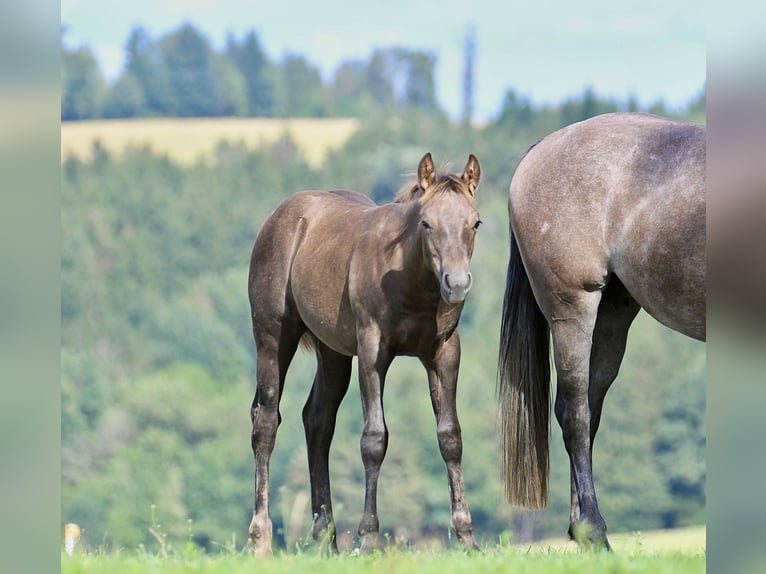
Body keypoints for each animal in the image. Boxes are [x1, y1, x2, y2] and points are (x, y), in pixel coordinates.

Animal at [247, 153, 483, 555]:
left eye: (475, 223)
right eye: (426, 223)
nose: (457, 284)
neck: (410, 283)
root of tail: (279, 216)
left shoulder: (445, 353)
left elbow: (450, 436)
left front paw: (467, 537)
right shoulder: (373, 351)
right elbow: (374, 439)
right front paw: (368, 537)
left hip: (333, 352)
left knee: (317, 420)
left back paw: (326, 541)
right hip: (273, 338)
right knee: (265, 422)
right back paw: (261, 537)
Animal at [497, 112, 705, 549]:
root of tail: (541, 149)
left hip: (611, 316)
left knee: (588, 413)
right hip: (572, 310)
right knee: (573, 414)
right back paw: (594, 533)